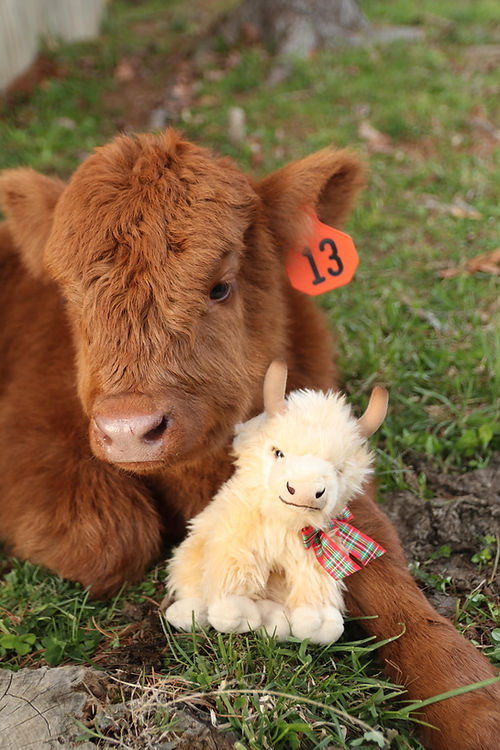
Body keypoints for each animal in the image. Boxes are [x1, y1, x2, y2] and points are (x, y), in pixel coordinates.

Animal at [0, 130, 498, 749]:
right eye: (71, 298)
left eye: (220, 288)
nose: (129, 431)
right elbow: (113, 539)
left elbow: (392, 583)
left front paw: (476, 710)